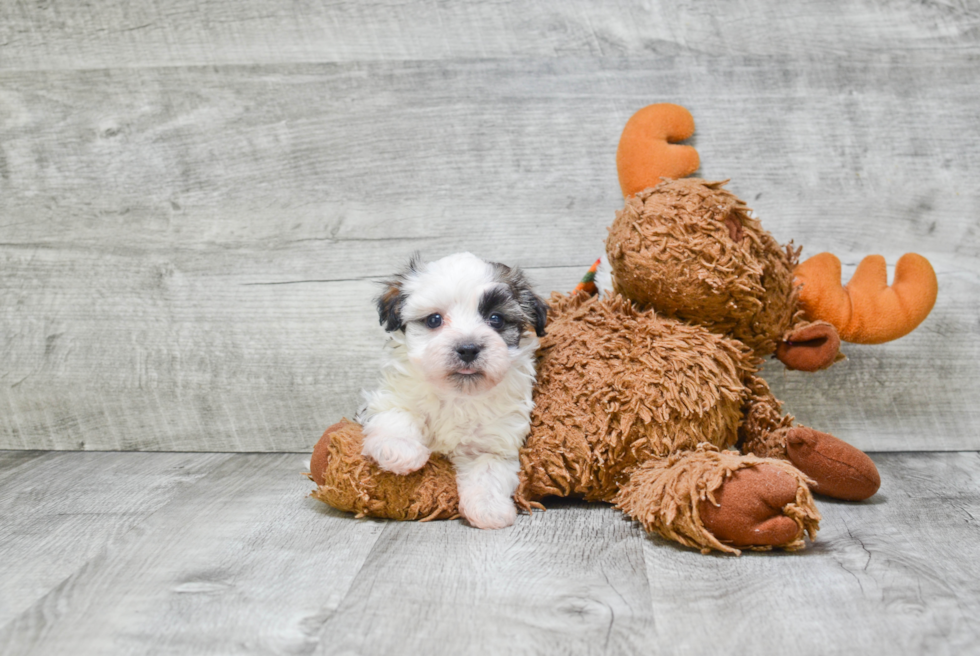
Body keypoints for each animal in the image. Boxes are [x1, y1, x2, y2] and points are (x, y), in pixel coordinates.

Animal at [356, 254, 548, 532]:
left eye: (496, 319)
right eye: (434, 320)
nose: (468, 348)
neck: (458, 396)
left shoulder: (495, 442)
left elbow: (488, 471)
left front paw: (489, 509)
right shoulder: (388, 398)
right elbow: (397, 415)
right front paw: (400, 450)